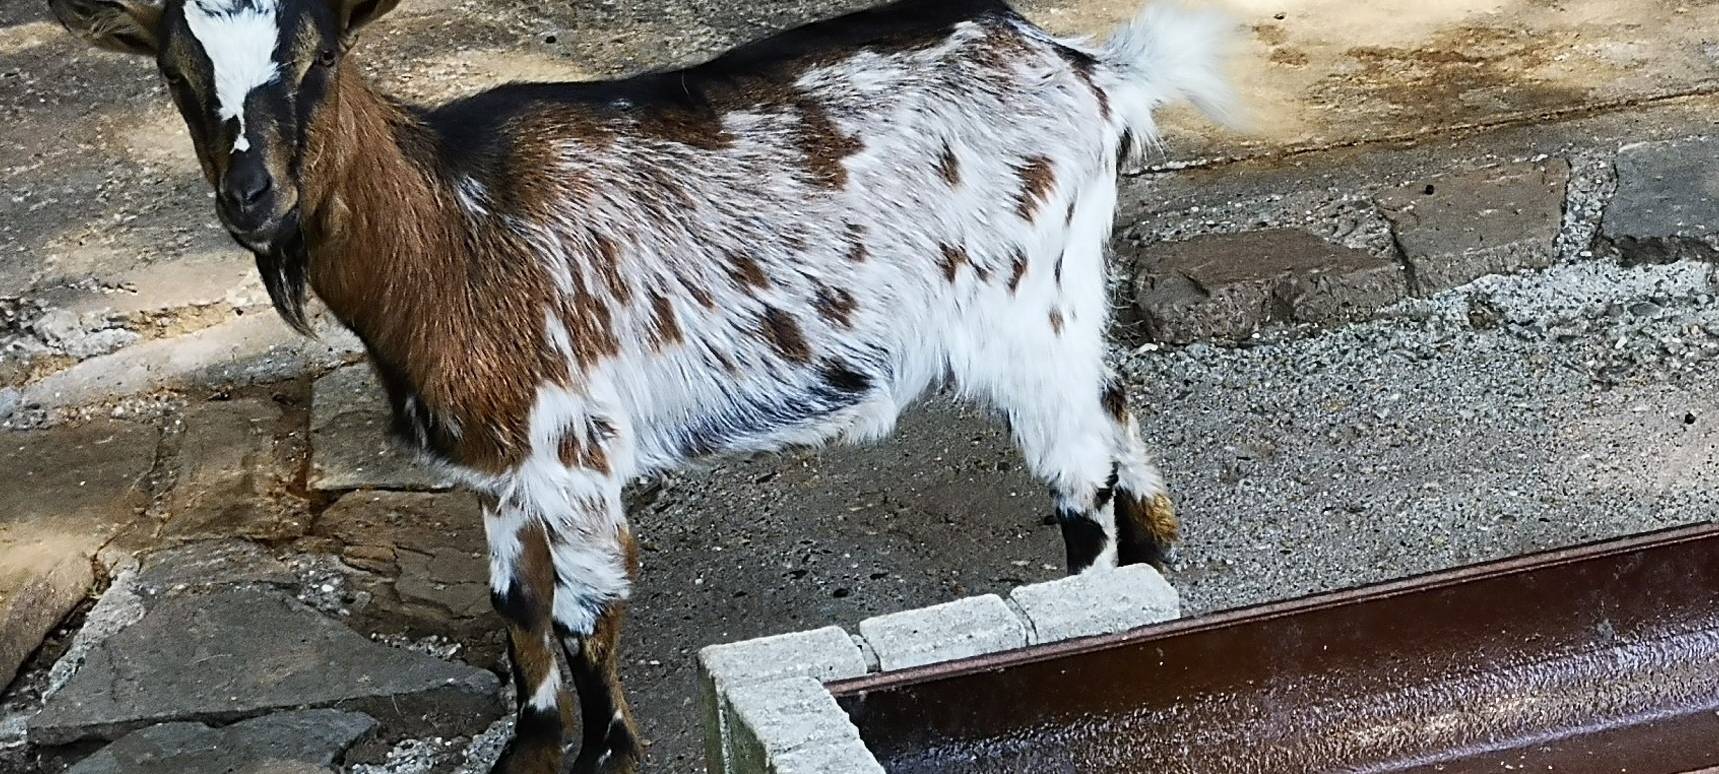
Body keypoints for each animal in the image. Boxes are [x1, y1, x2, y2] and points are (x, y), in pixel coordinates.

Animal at [49, 0, 1233, 770]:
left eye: (322, 55)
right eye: (175, 71)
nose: (252, 196)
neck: (454, 230)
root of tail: (1094, 75)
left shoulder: (572, 452)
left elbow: (582, 617)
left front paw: (608, 754)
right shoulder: (497, 465)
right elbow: (515, 610)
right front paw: (531, 750)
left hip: (1024, 314)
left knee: (1078, 480)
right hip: (1066, 303)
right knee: (1114, 407)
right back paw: (1156, 567)